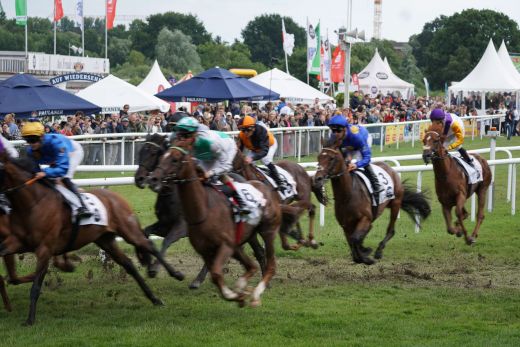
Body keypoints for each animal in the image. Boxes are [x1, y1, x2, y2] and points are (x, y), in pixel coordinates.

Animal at [0, 152, 185, 326]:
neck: (33, 203)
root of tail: (117, 197)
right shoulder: (17, 242)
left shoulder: (44, 249)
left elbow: (36, 286)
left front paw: (30, 319)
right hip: (105, 239)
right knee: (128, 264)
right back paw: (154, 298)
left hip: (128, 231)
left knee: (149, 245)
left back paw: (174, 274)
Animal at [134, 134, 266, 288]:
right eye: (140, 152)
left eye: (153, 153)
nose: (139, 179)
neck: (172, 194)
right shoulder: (164, 224)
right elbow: (146, 232)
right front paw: (146, 260)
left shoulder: (182, 226)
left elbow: (167, 241)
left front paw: (163, 270)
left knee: (257, 251)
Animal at [312, 137, 430, 266]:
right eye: (318, 157)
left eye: (331, 158)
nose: (317, 179)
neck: (348, 195)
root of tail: (390, 169)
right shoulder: (345, 225)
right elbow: (352, 242)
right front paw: (362, 254)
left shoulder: (366, 219)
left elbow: (355, 239)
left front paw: (366, 255)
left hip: (396, 203)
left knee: (391, 230)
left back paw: (378, 251)